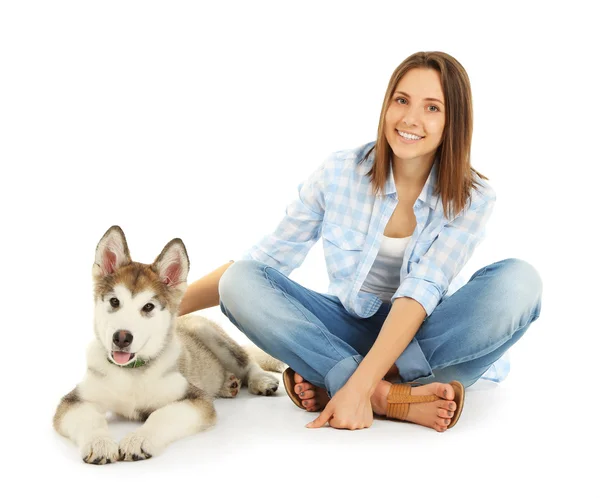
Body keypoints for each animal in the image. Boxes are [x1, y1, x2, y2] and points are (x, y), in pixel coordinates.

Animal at [54, 226, 284, 462]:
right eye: (114, 301)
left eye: (148, 306)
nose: (121, 338)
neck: (132, 373)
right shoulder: (73, 401)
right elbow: (89, 419)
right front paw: (99, 443)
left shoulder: (194, 399)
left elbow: (161, 414)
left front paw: (139, 439)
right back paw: (228, 383)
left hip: (208, 332)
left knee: (246, 360)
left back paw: (260, 380)